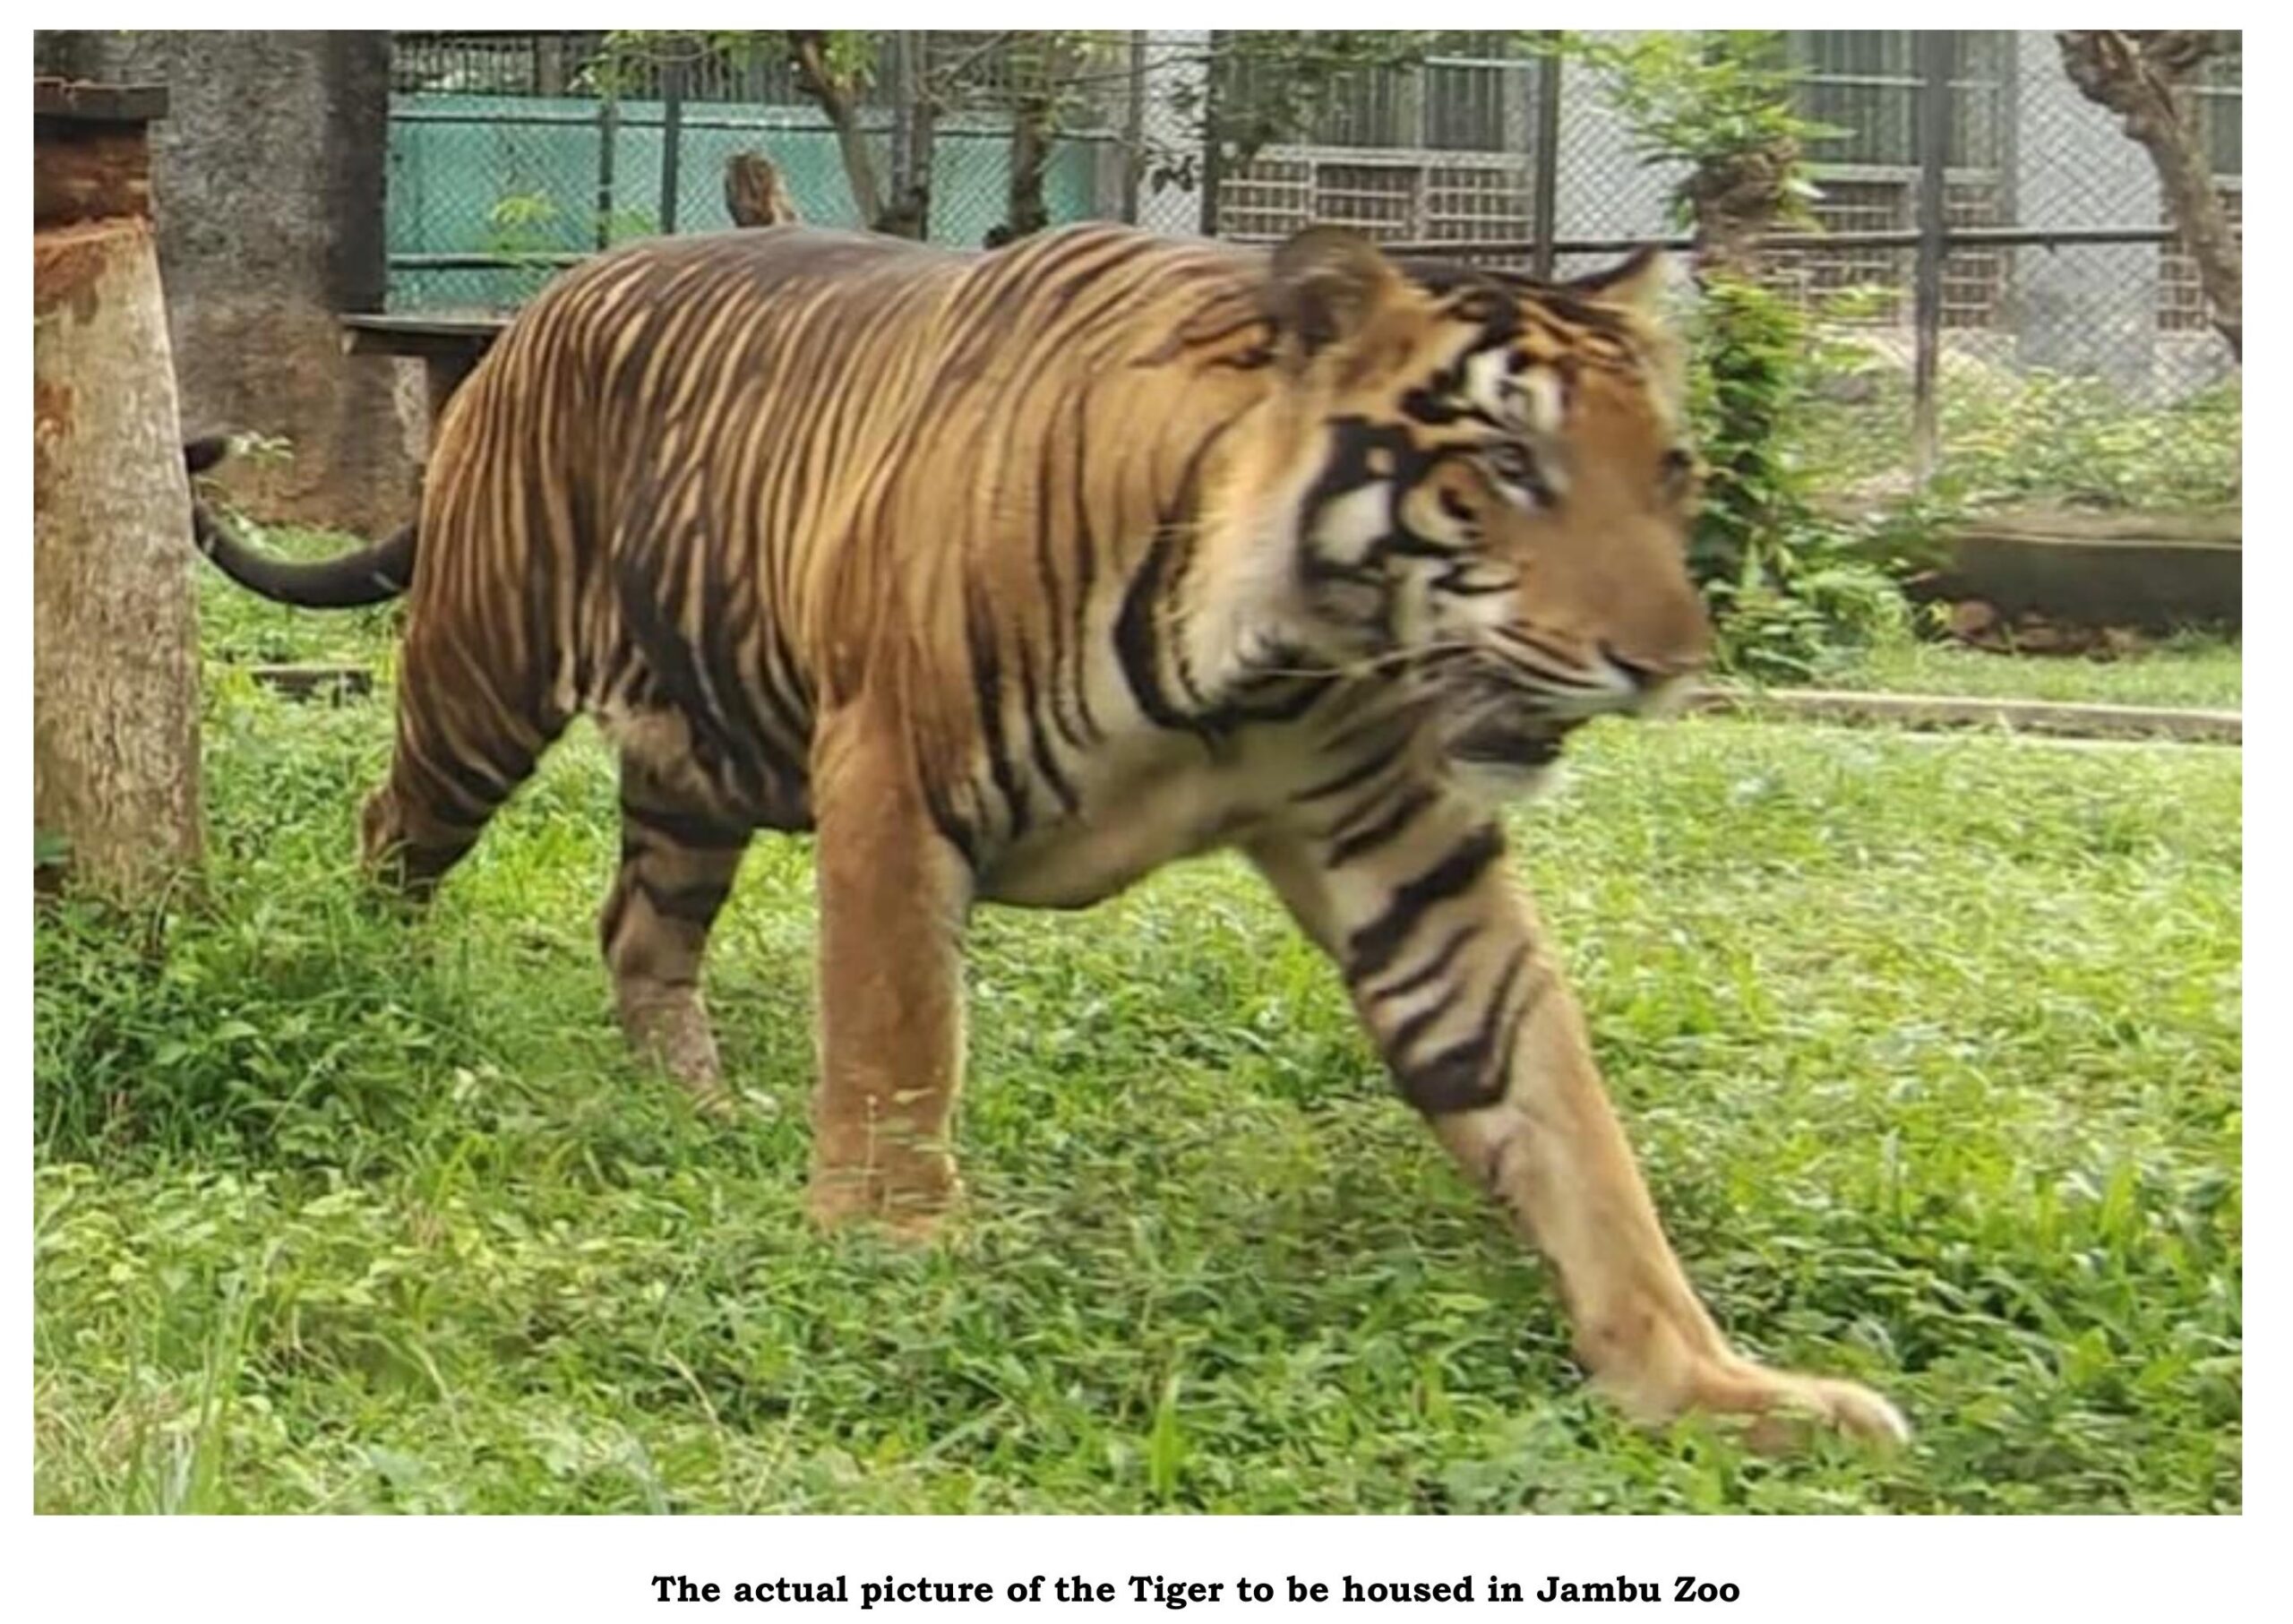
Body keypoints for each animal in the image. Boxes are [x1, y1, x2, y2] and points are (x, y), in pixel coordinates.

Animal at [197, 219, 1907, 1449]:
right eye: (1505, 465)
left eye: (1670, 469)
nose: (1668, 662)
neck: (1271, 663)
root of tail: (545, 301)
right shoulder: (894, 779)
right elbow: (897, 1044)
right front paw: (897, 1252)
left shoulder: (1409, 852)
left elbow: (1563, 1121)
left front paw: (1714, 1387)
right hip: (482, 679)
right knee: (392, 832)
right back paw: (387, 988)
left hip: (699, 751)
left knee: (639, 926)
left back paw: (702, 1111)